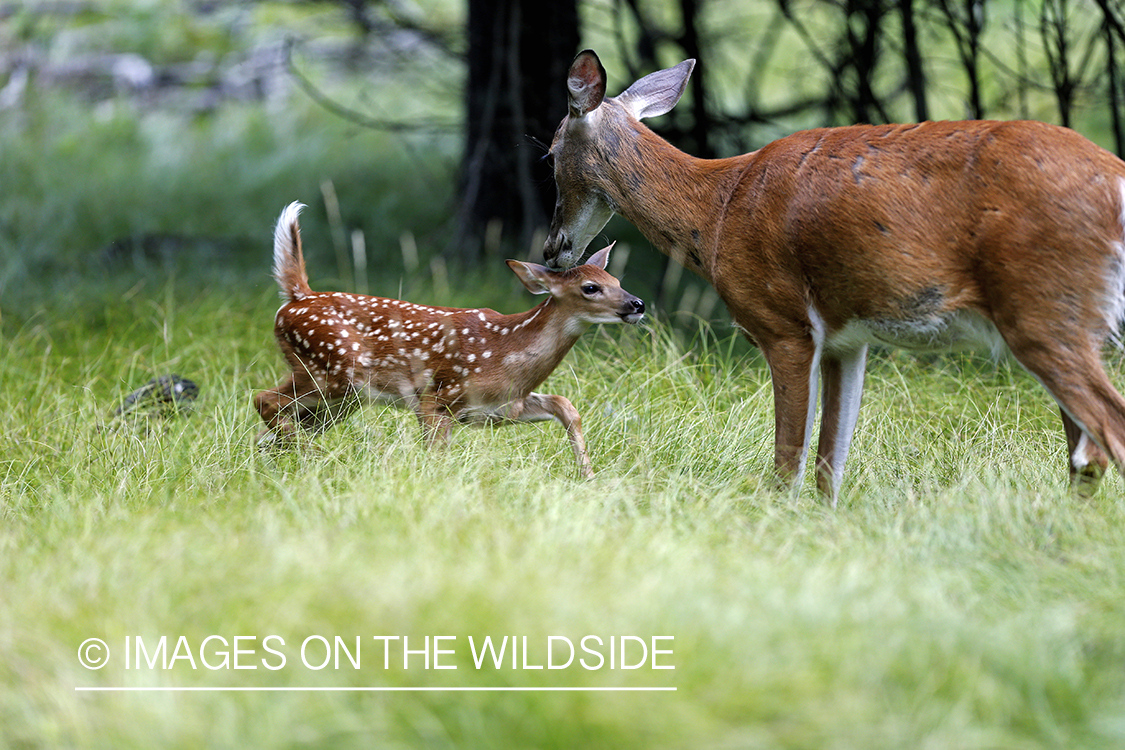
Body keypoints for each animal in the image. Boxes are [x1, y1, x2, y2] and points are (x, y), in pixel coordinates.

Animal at [256, 202, 643, 479]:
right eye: (590, 288)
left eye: (616, 279)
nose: (636, 304)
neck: (507, 351)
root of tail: (297, 298)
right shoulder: (436, 396)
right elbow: (436, 454)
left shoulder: (505, 408)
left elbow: (565, 405)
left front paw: (588, 476)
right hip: (331, 370)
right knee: (264, 399)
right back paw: (314, 459)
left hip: (341, 399)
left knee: (274, 430)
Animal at [542, 49, 1125, 501]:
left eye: (549, 155)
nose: (552, 249)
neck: (717, 210)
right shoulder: (848, 338)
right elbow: (830, 465)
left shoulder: (783, 321)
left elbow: (789, 465)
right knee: (1086, 455)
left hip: (1044, 309)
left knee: (1106, 435)